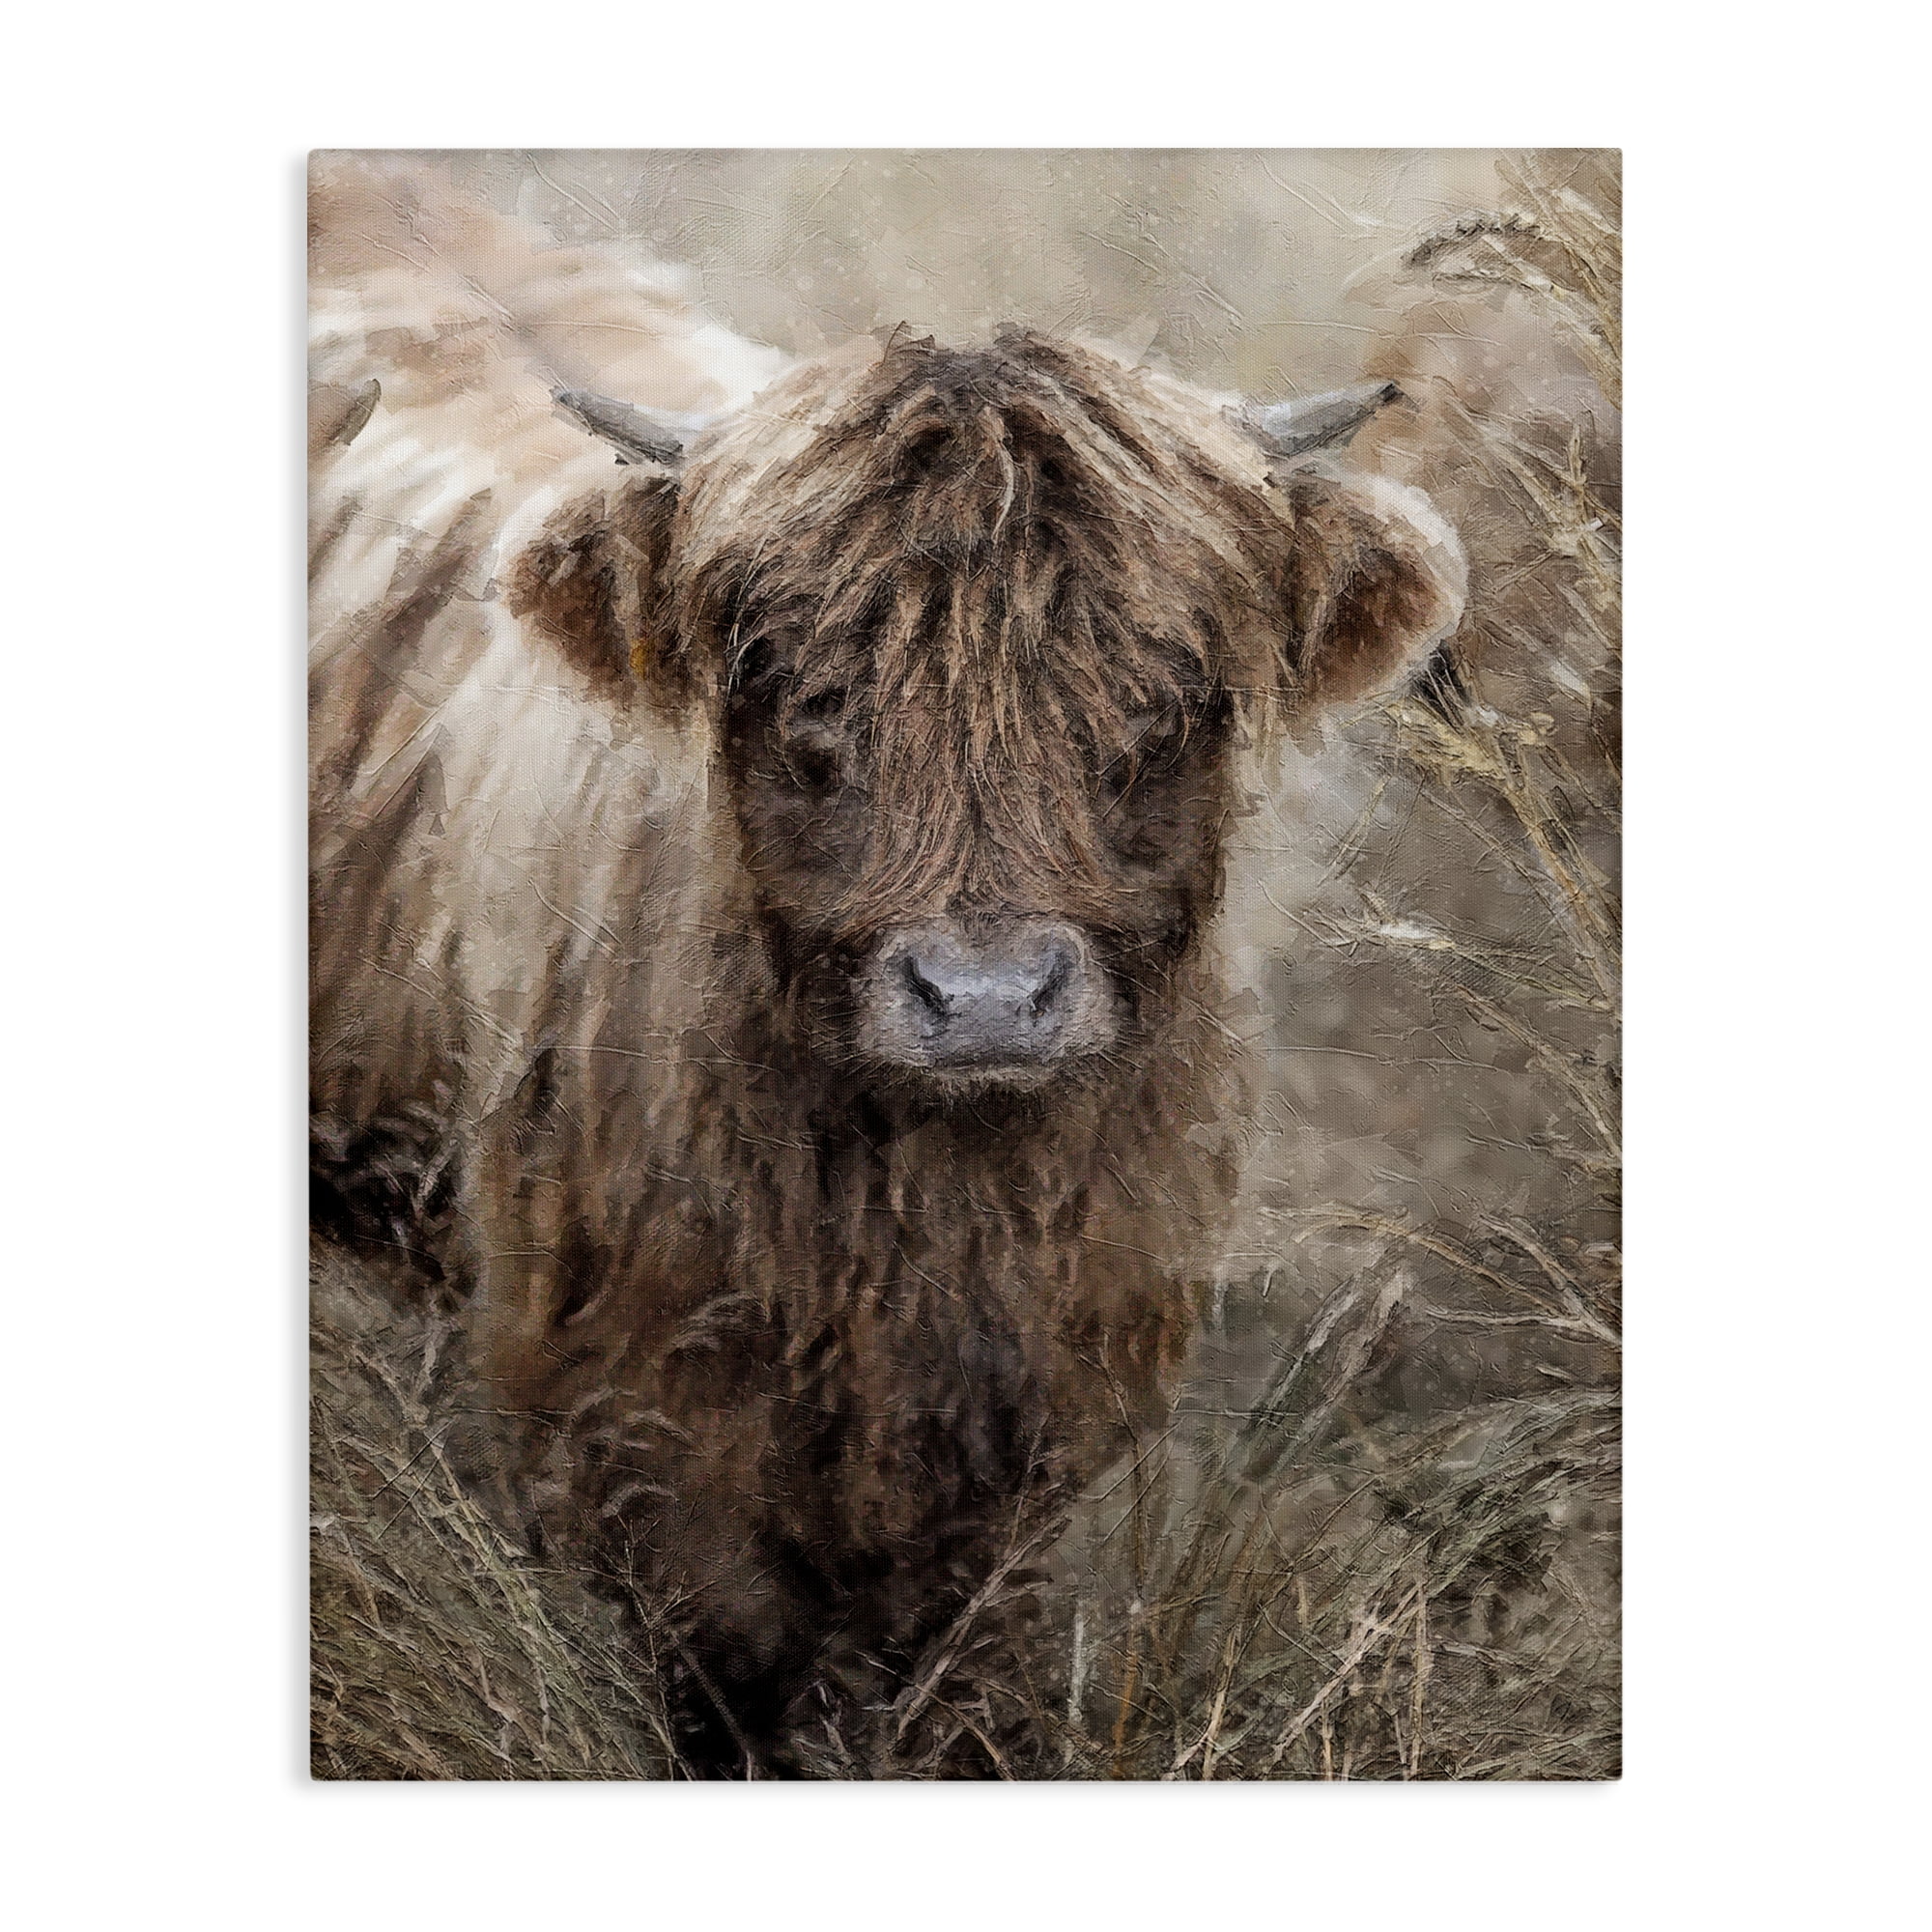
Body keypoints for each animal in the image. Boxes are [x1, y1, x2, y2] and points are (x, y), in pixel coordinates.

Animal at [311, 290, 1465, 1771]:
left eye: (1160, 705)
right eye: (806, 700)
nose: (983, 997)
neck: (924, 1215)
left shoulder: (1035, 1425)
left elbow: (959, 1666)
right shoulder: (622, 1402)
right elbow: (722, 1669)